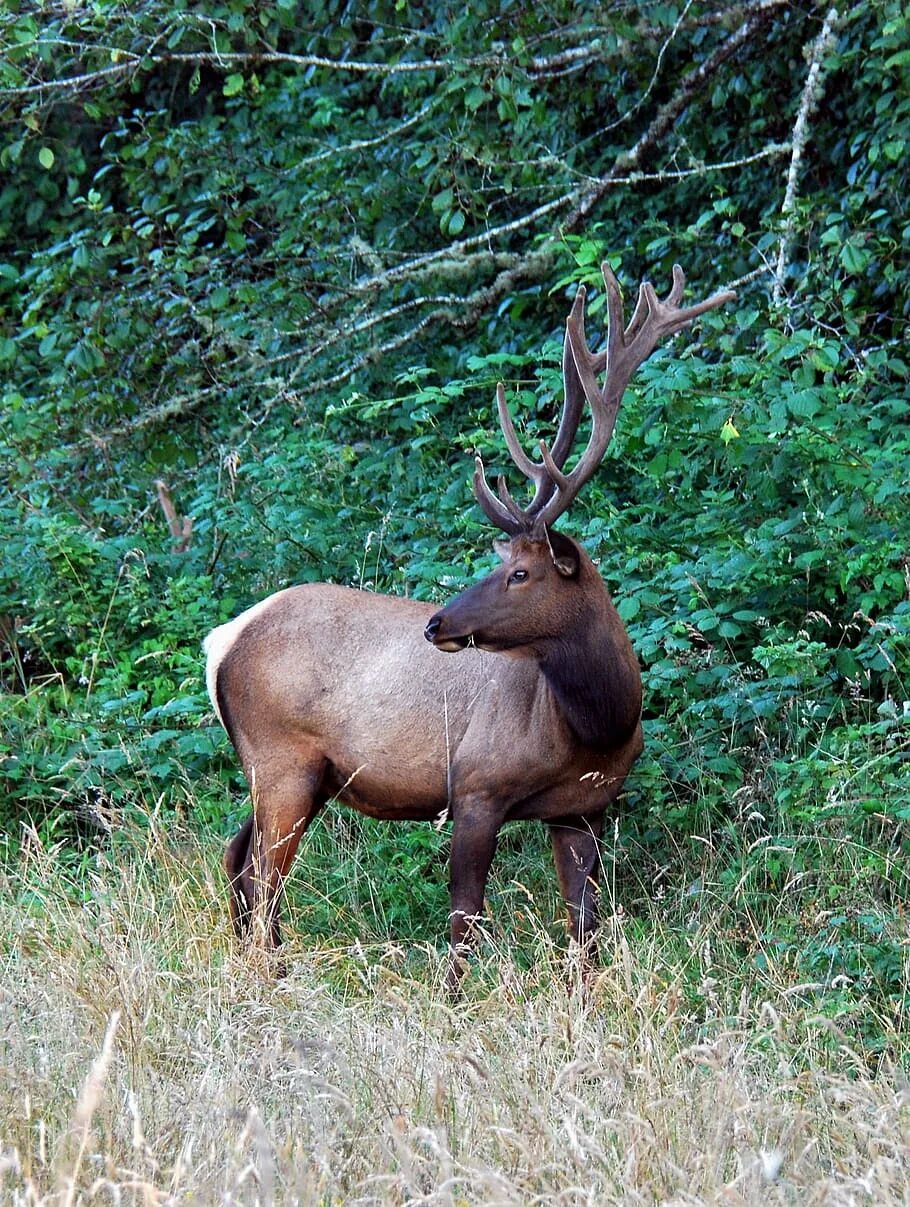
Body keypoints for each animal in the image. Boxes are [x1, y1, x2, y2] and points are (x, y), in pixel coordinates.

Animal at [205, 261, 728, 980]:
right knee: (261, 876)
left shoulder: (584, 811)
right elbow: (463, 922)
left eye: (519, 573)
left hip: (294, 775)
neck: (598, 725)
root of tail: (222, 640)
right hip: (280, 757)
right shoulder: (477, 787)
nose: (436, 623)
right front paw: (453, 999)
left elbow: (584, 929)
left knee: (239, 859)